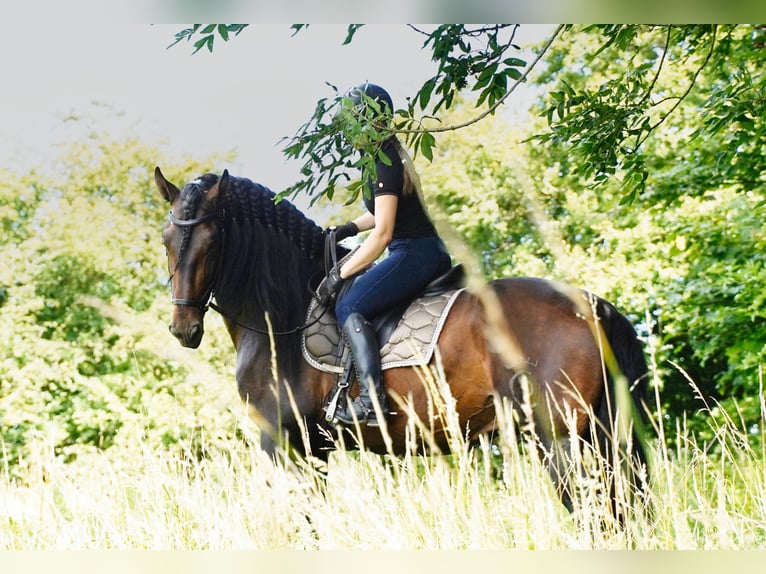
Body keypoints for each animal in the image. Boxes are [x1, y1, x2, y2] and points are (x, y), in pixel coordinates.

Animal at [156, 168, 656, 516]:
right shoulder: (314, 449)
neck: (285, 314)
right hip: (600, 438)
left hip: (560, 439)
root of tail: (589, 303)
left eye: (211, 242)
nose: (183, 327)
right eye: (167, 240)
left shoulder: (285, 442)